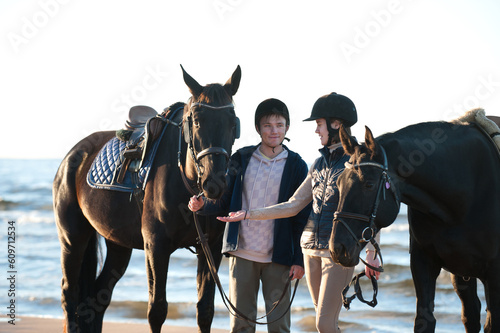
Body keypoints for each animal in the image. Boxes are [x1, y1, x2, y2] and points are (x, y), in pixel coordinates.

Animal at [53, 65, 241, 332]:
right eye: (196, 121)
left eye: (233, 122)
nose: (214, 183)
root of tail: (74, 154)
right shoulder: (155, 246)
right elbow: (157, 310)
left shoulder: (210, 248)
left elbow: (205, 310)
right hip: (72, 238)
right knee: (70, 293)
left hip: (118, 244)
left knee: (98, 296)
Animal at [332, 115, 500, 332]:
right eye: (339, 183)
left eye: (369, 184)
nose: (337, 248)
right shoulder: (424, 263)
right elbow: (425, 320)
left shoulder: (494, 274)